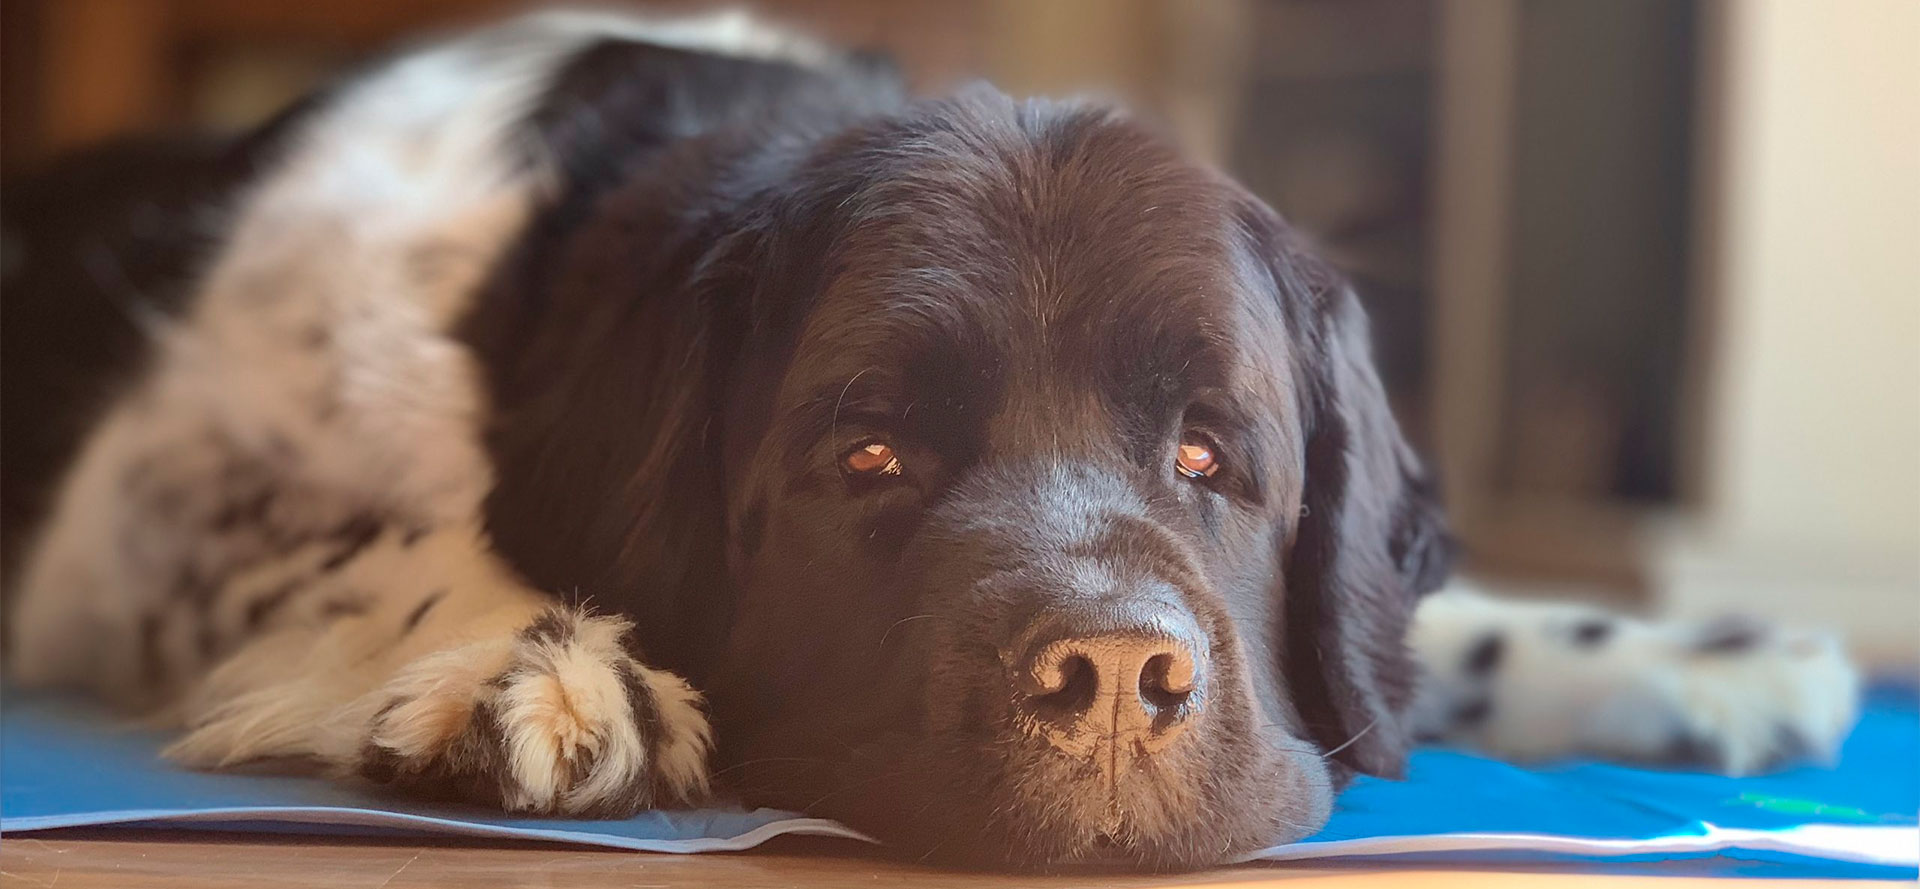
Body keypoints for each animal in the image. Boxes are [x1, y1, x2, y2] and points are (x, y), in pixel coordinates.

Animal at [3, 6, 1858, 871]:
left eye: (1210, 457)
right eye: (870, 458)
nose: (1111, 679)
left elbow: (1408, 633)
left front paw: (1688, 655)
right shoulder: (137, 506)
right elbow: (379, 531)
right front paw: (530, 655)